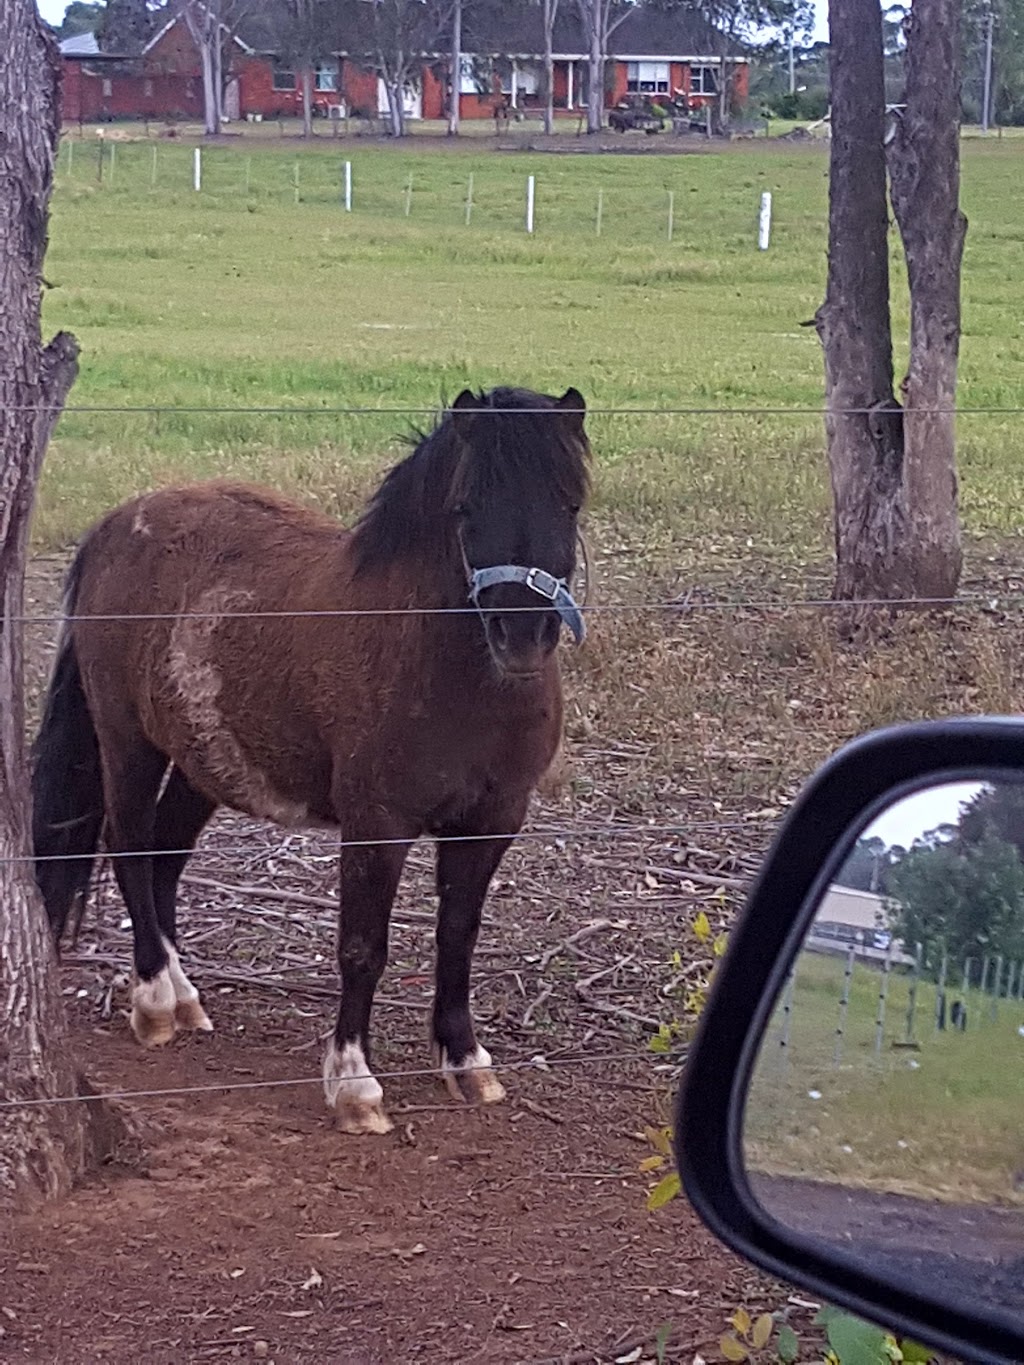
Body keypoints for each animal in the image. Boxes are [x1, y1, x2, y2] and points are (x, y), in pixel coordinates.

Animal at [34, 384, 592, 1130]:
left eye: (569, 502)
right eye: (465, 507)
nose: (523, 634)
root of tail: (117, 525)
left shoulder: (491, 821)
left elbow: (458, 934)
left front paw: (465, 1059)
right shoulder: (376, 822)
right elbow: (362, 948)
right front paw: (354, 1083)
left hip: (203, 761)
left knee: (164, 860)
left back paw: (184, 994)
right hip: (128, 743)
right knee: (129, 847)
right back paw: (154, 1001)